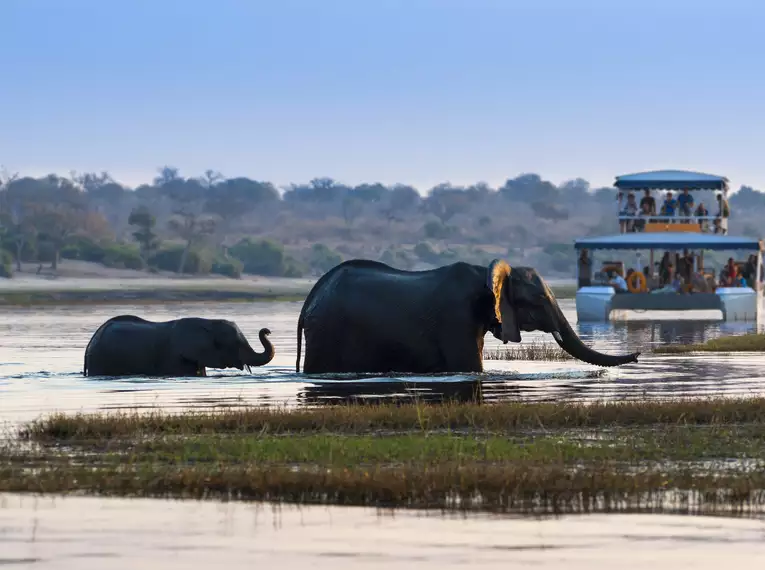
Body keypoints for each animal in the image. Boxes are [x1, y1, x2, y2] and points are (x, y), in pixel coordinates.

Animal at [296, 258, 640, 372]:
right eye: (540, 299)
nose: (637, 355)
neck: (485, 274)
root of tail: (311, 296)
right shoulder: (456, 317)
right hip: (327, 332)